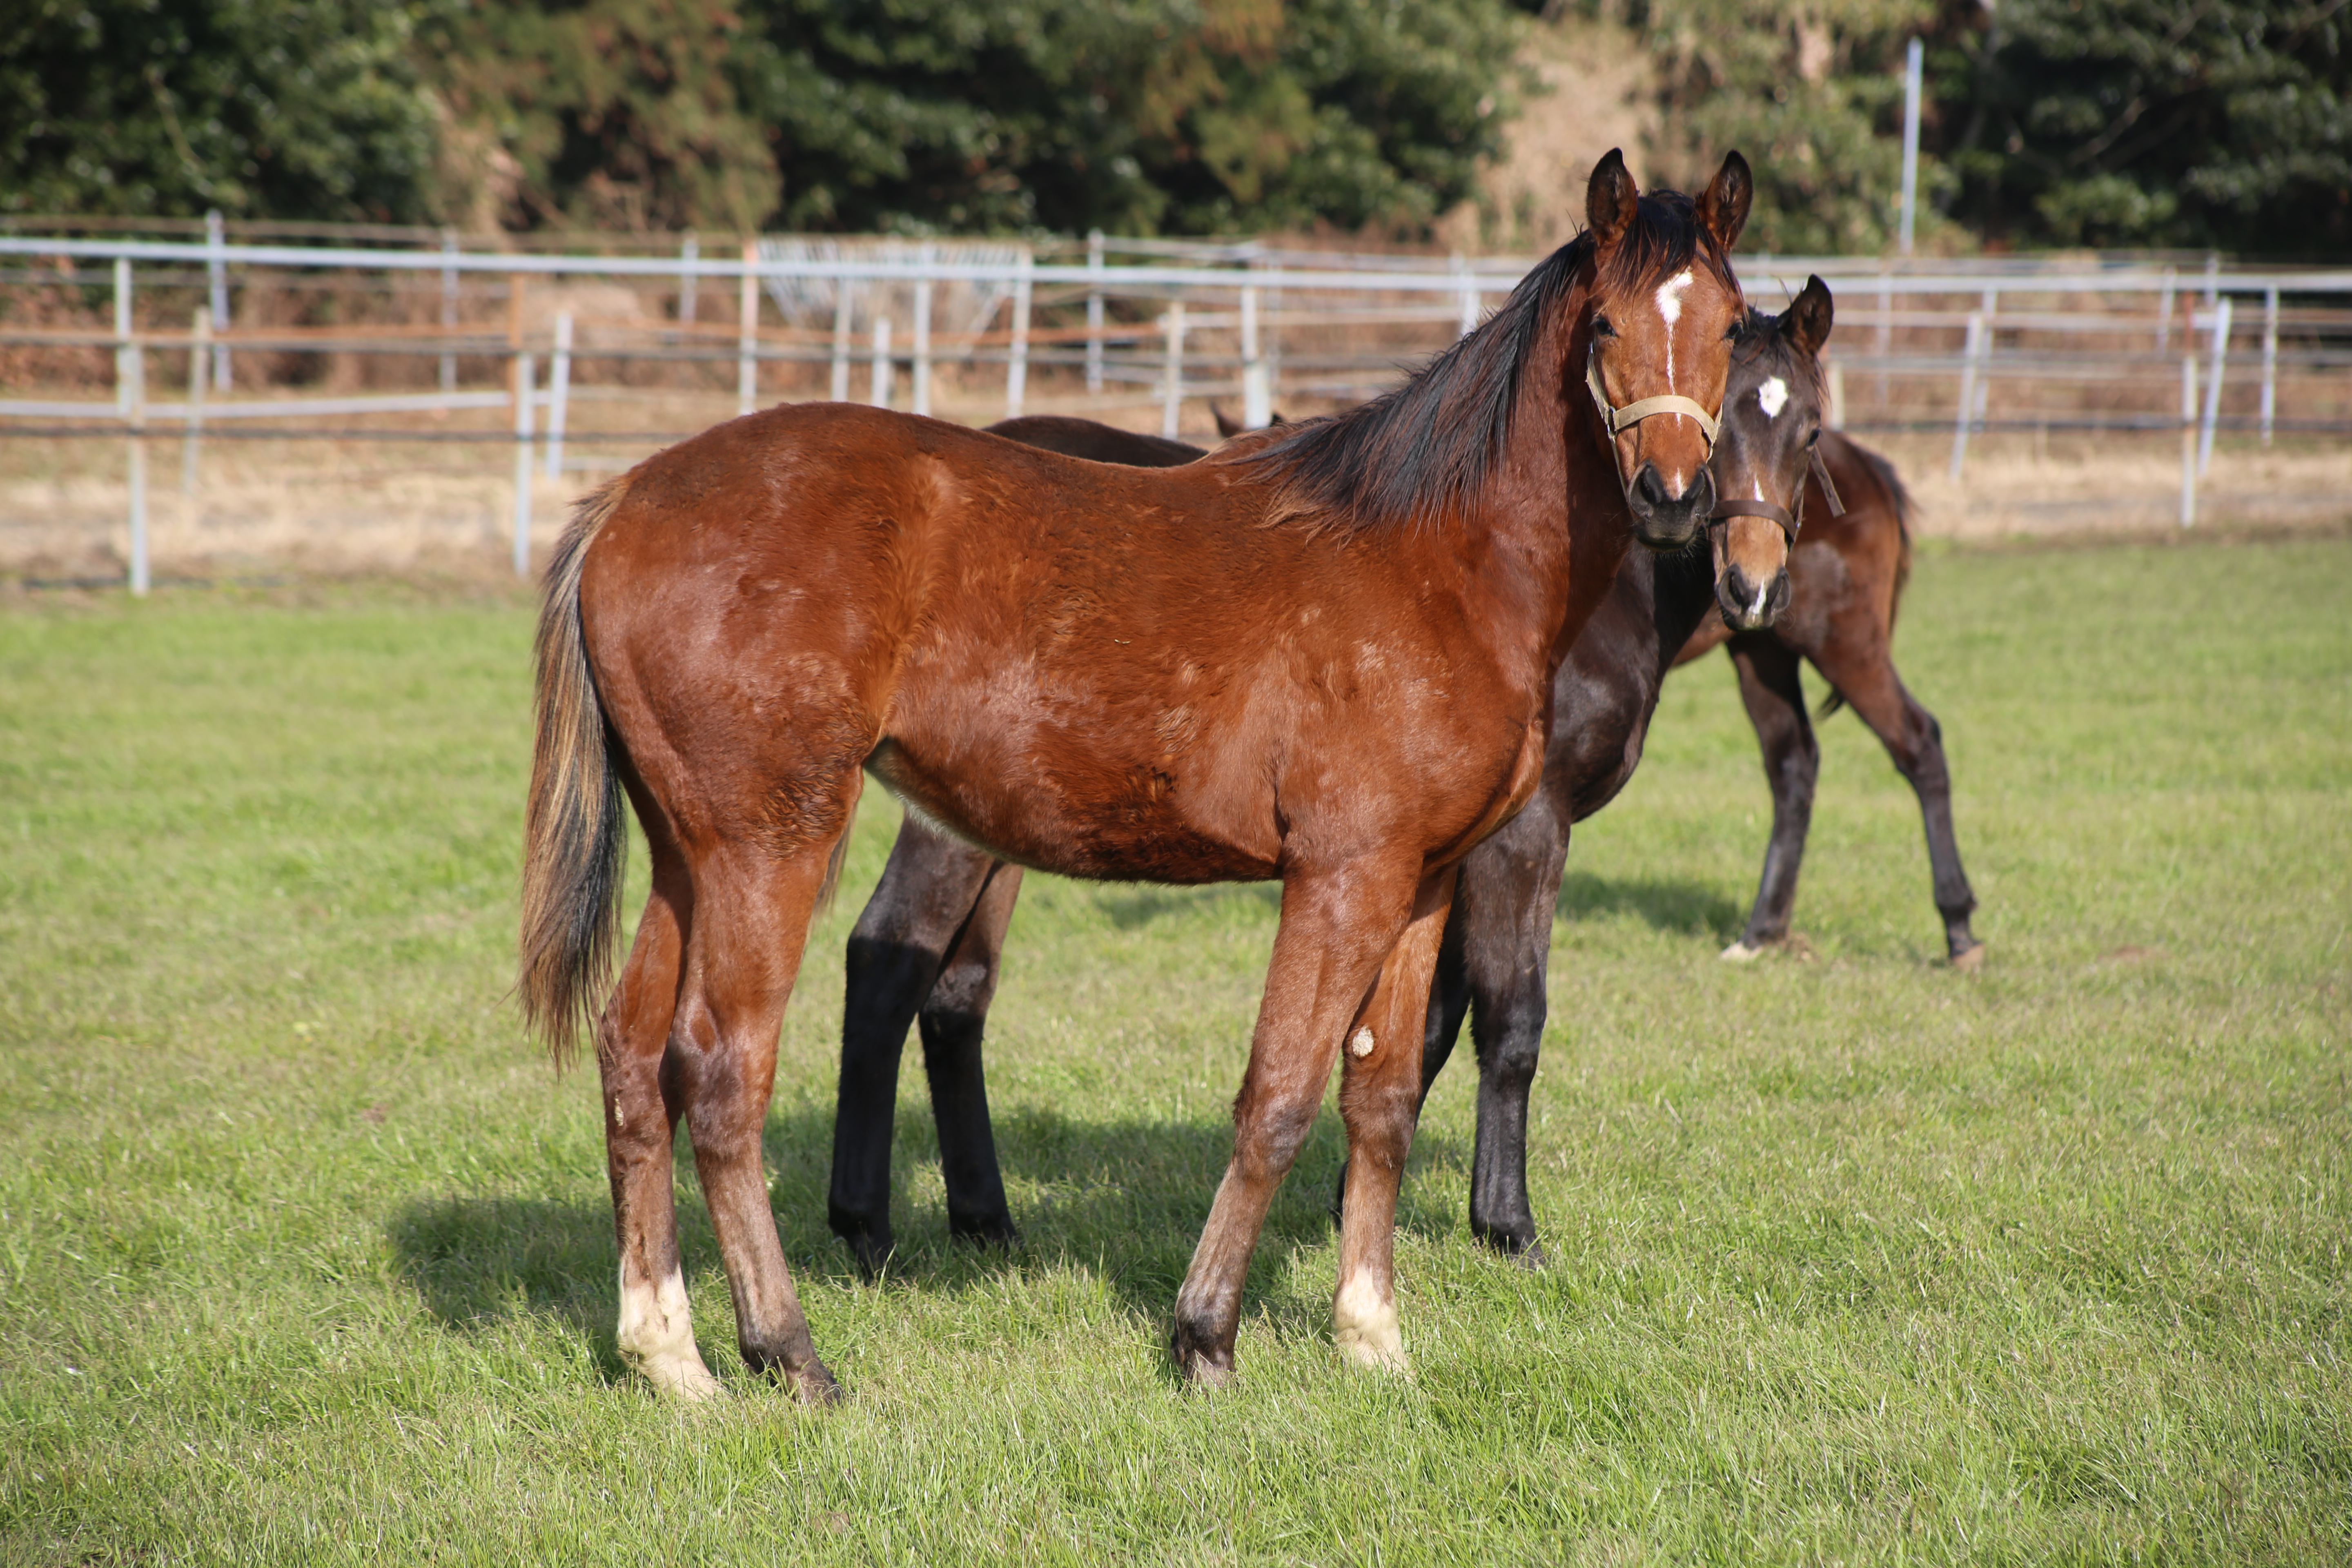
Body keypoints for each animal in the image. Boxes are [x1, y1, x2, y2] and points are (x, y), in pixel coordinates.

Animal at [524, 150, 1759, 1401]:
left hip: (690, 855)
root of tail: (629, 500)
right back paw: (787, 1350)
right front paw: (1204, 1334)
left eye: (1730, 323)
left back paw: (671, 1355)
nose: (1672, 499)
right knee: (723, 1073)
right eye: (1604, 323)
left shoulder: (1421, 883)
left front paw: (1372, 1337)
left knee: (634, 1059)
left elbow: (1381, 1100)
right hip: (771, 846)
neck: (1435, 560)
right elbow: (1278, 1096)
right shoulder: (1342, 875)